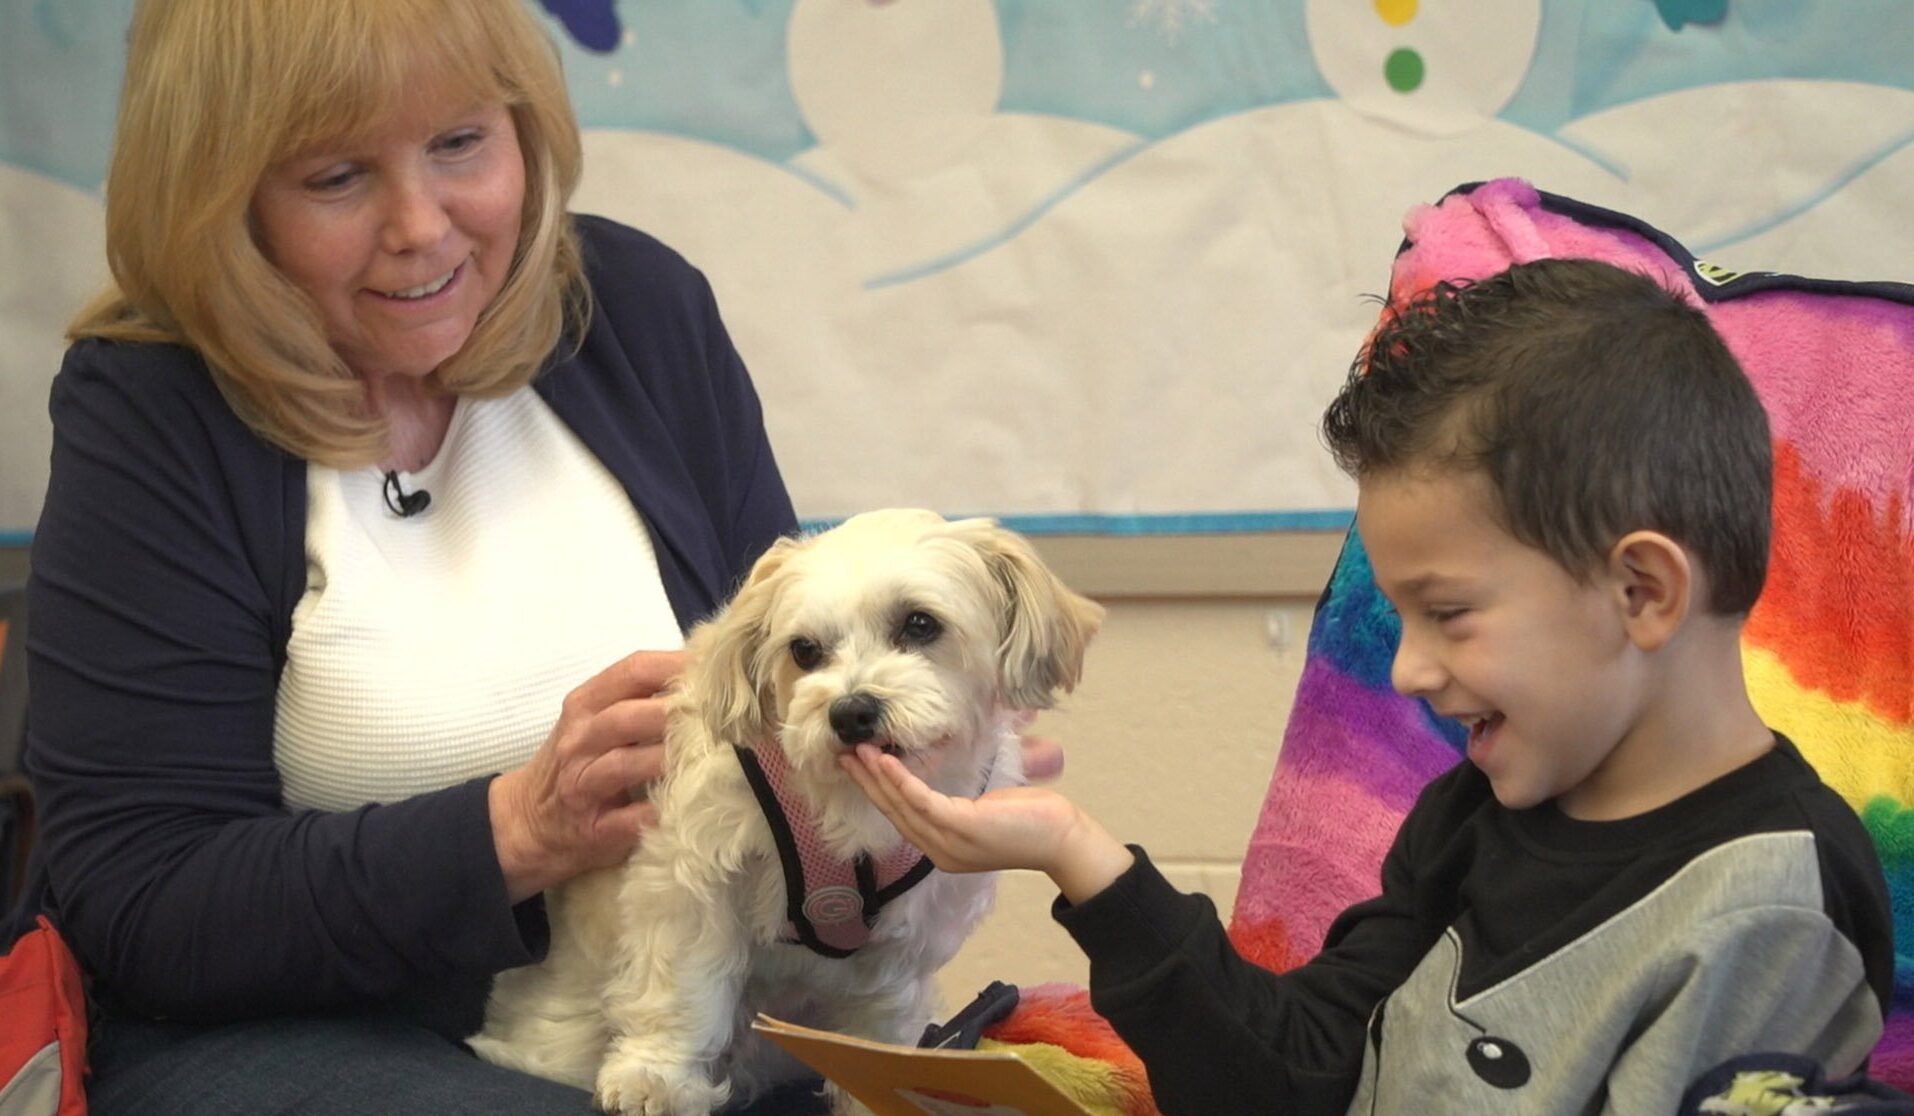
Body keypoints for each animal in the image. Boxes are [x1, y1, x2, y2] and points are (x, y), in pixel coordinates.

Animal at [467, 509, 1110, 1110]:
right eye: (804, 651)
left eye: (920, 623)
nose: (850, 712)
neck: (847, 808)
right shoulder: (690, 883)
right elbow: (683, 991)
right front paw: (657, 1076)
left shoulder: (903, 939)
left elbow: (876, 1026)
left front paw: (876, 1090)